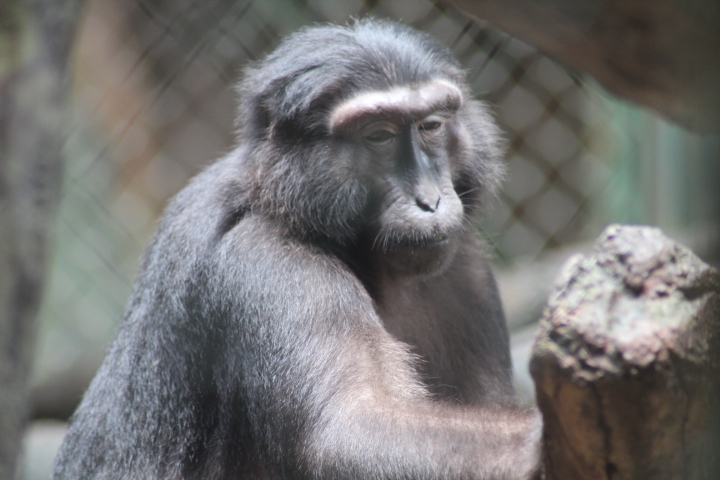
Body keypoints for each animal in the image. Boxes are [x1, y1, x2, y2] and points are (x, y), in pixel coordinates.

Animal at [52, 19, 541, 480]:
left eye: (431, 126)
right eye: (379, 135)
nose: (430, 200)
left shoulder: (465, 270)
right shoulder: (266, 262)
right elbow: (347, 432)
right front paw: (535, 442)